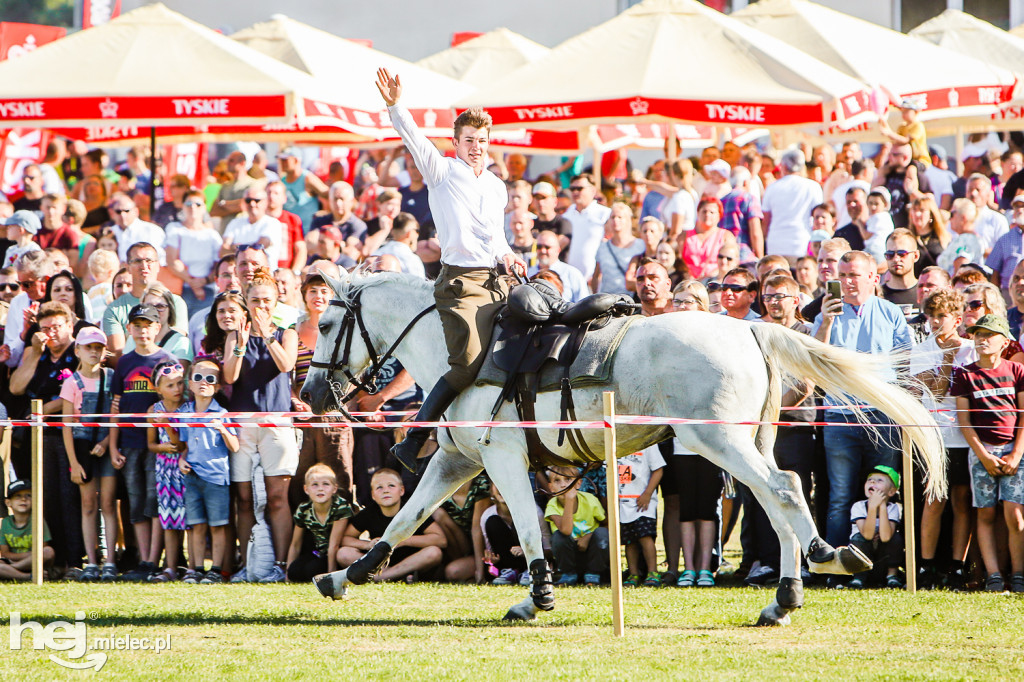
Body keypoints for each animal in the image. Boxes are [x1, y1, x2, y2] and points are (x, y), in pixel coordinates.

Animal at [303, 268, 942, 622]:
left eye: (328, 325)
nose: (308, 391)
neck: (462, 353)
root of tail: (749, 327)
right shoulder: (457, 460)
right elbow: (402, 521)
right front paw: (344, 576)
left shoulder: (502, 458)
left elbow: (528, 530)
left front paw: (536, 597)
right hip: (748, 442)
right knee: (777, 500)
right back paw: (785, 597)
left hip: (715, 441)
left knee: (783, 491)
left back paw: (824, 560)